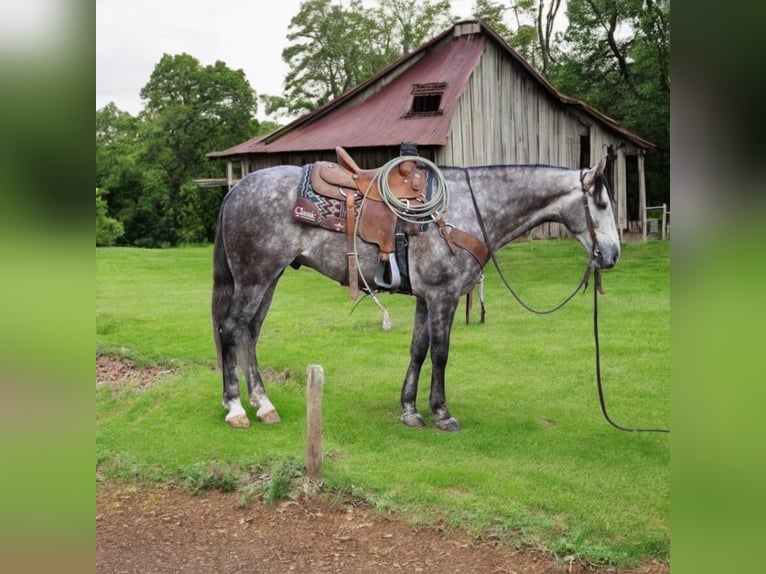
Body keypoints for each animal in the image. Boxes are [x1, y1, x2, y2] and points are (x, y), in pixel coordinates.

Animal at [211, 157, 620, 431]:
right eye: (601, 204)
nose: (613, 254)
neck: (469, 207)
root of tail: (236, 189)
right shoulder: (444, 296)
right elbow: (440, 353)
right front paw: (442, 412)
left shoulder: (426, 298)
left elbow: (418, 350)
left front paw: (409, 409)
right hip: (255, 277)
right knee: (231, 329)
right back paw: (236, 408)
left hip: (268, 279)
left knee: (249, 332)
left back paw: (262, 404)